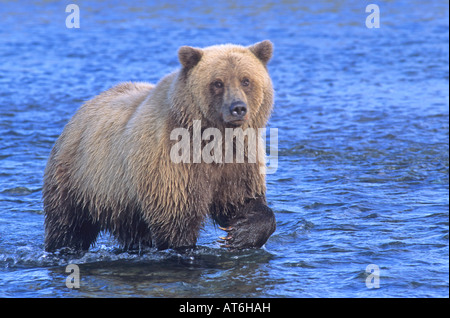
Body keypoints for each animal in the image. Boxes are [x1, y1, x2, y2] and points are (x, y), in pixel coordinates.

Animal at [43, 39, 274, 251]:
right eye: (218, 83)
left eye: (246, 80)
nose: (238, 108)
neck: (214, 138)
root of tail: (82, 108)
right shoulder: (173, 165)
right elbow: (177, 220)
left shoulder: (239, 160)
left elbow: (244, 200)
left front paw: (240, 232)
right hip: (78, 179)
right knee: (68, 226)